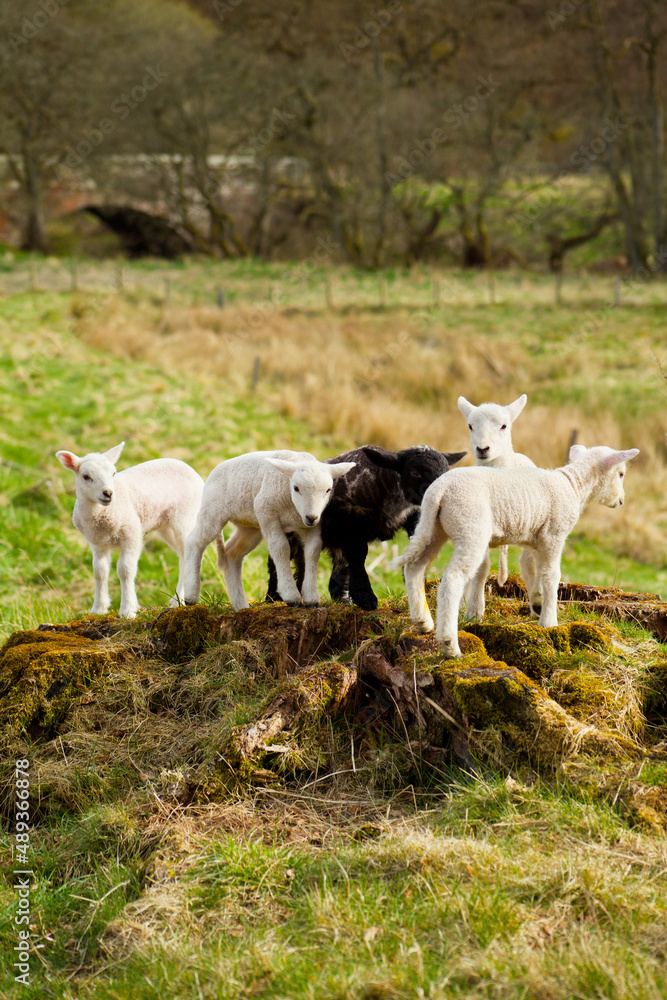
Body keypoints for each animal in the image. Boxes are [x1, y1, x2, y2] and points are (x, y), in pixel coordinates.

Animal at [56, 442, 204, 618]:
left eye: (113, 473)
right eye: (86, 476)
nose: (108, 494)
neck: (101, 515)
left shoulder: (131, 534)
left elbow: (125, 570)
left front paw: (127, 609)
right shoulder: (97, 543)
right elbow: (99, 571)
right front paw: (98, 609)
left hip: (185, 517)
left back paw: (179, 600)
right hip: (166, 525)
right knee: (182, 554)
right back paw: (177, 599)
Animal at [183, 450, 356, 611]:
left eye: (328, 490)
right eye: (296, 488)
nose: (311, 517)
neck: (294, 510)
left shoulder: (314, 525)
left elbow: (313, 552)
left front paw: (311, 598)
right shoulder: (267, 513)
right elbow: (281, 548)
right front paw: (291, 595)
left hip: (250, 526)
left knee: (232, 554)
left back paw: (241, 606)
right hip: (212, 511)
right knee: (194, 542)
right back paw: (191, 595)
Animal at [266, 445, 467, 610]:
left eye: (446, 470)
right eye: (414, 472)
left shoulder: (414, 519)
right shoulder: (350, 522)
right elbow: (358, 555)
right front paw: (366, 598)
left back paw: (339, 599)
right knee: (277, 562)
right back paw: (273, 598)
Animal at [396, 444, 639, 657]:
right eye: (621, 474)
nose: (622, 500)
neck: (574, 486)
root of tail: (440, 489)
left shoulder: (536, 541)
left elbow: (531, 570)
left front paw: (537, 605)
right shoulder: (554, 535)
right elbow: (552, 576)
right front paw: (549, 621)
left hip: (432, 527)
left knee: (414, 567)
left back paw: (423, 622)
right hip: (470, 526)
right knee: (452, 579)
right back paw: (449, 645)